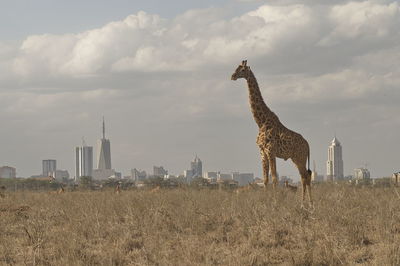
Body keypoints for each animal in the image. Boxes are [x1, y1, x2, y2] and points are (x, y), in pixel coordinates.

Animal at [231, 60, 312, 206]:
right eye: (237, 68)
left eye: (242, 70)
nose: (232, 76)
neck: (260, 122)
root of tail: (308, 145)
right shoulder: (262, 152)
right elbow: (265, 179)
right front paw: (266, 201)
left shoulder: (270, 151)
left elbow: (274, 178)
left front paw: (275, 202)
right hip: (296, 158)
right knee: (305, 176)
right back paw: (306, 203)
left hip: (300, 157)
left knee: (305, 177)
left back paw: (307, 203)